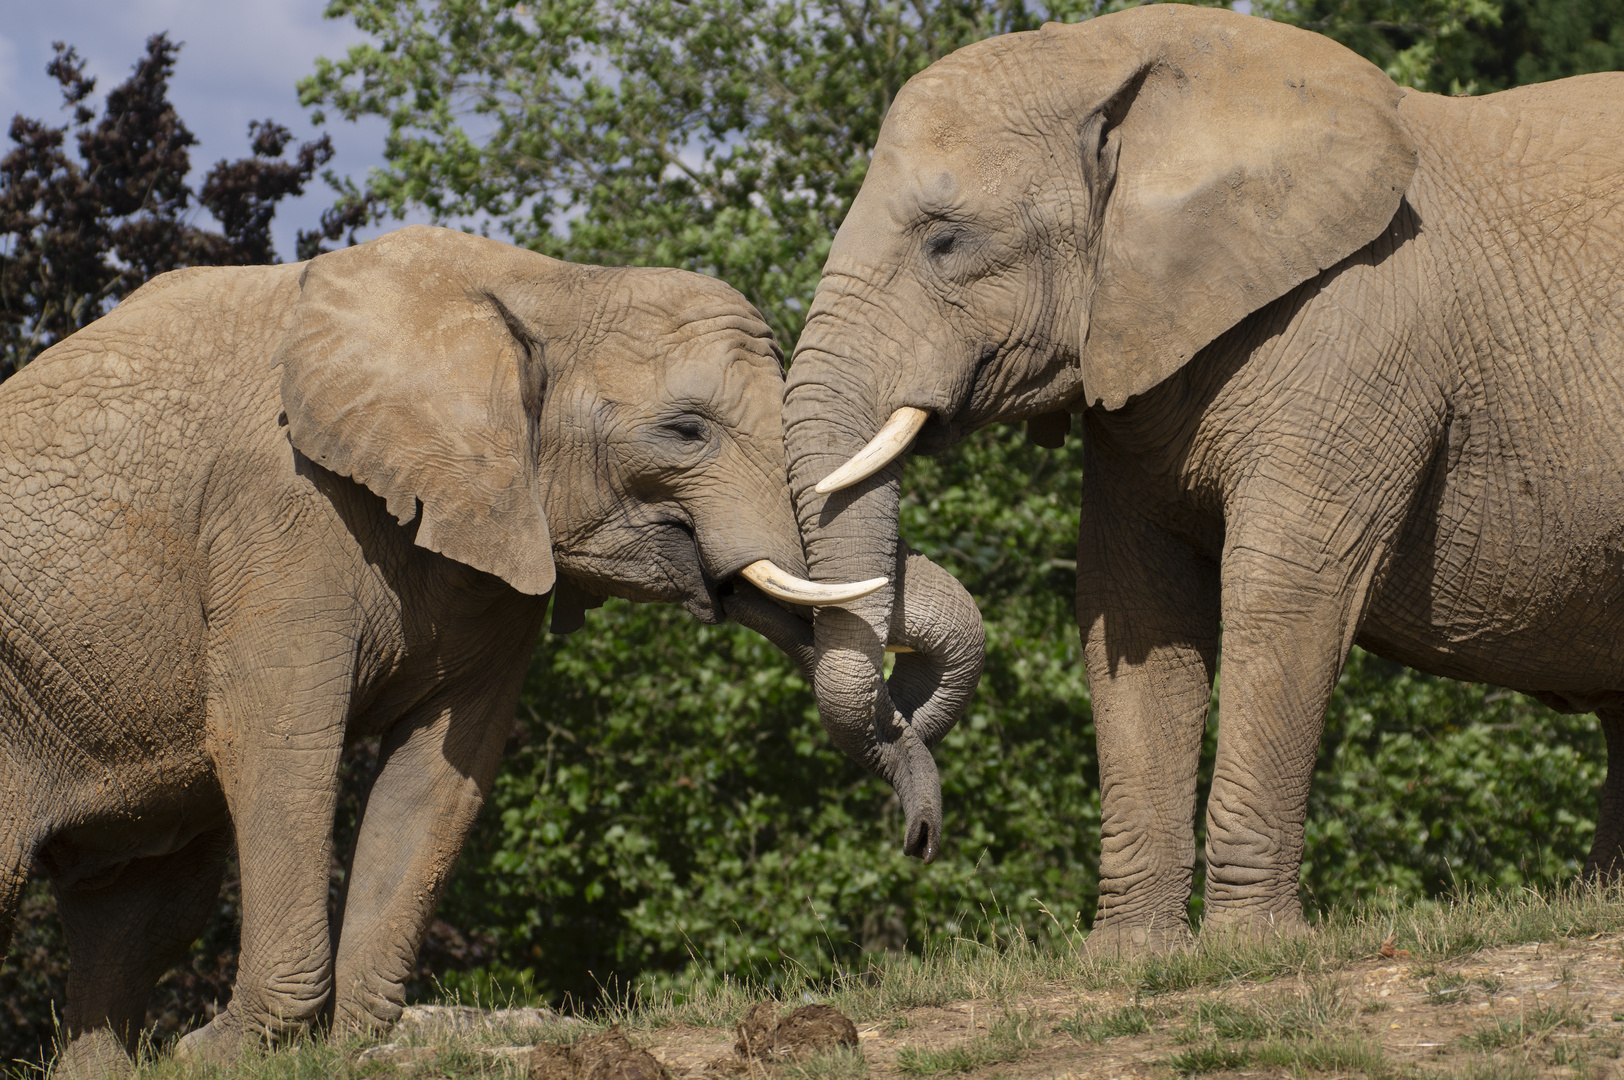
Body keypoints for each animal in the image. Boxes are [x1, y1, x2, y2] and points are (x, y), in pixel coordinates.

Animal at [0, 227, 974, 1071]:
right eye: (686, 430)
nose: (921, 839)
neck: (544, 286)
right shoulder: (278, 511)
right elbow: (276, 744)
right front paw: (218, 1055)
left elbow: (443, 769)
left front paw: (351, 1047)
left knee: (142, 908)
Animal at [786, 6, 1624, 954]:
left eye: (945, 239)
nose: (919, 840)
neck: (1118, 57)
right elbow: (1134, 607)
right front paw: (1126, 960)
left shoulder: (1355, 331)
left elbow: (1283, 590)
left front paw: (1252, 950)